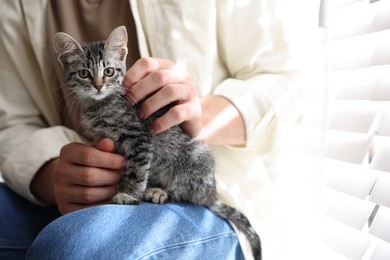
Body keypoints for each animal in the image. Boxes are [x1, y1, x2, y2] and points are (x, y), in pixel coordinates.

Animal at [54, 26, 262, 260]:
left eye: (109, 71)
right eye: (84, 73)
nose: (98, 86)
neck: (100, 105)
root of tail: (211, 192)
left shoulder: (139, 136)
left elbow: (136, 170)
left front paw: (129, 194)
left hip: (196, 160)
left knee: (186, 195)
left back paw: (160, 192)